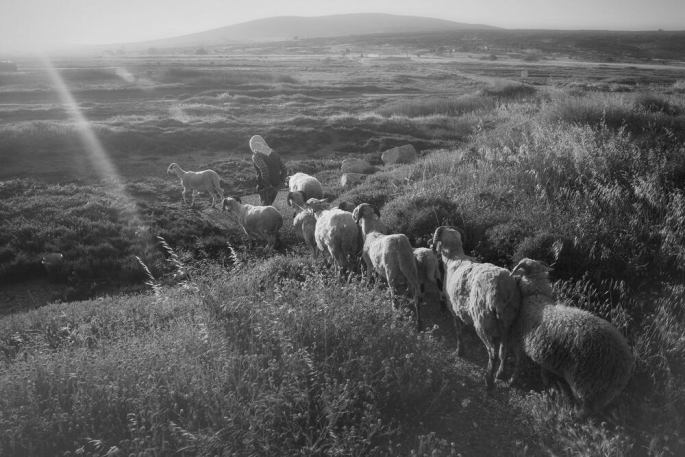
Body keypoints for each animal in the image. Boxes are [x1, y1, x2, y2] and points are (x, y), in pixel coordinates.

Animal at [352, 203, 422, 332]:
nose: (353, 217)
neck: (370, 232)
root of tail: (400, 245)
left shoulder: (369, 264)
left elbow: (369, 277)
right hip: (411, 269)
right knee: (416, 298)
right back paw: (419, 322)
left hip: (391, 274)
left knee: (394, 298)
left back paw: (395, 315)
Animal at [430, 226, 520, 390]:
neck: (454, 257)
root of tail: (502, 288)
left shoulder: (454, 310)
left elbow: (458, 331)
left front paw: (459, 351)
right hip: (508, 320)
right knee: (504, 348)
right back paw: (500, 373)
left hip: (483, 322)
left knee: (493, 352)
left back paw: (488, 381)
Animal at [510, 258, 632, 416]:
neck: (535, 296)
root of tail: (623, 365)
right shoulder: (544, 351)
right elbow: (544, 368)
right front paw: (545, 380)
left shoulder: (519, 341)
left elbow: (518, 364)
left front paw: (512, 380)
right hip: (603, 392)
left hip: (585, 384)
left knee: (586, 409)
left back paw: (572, 412)